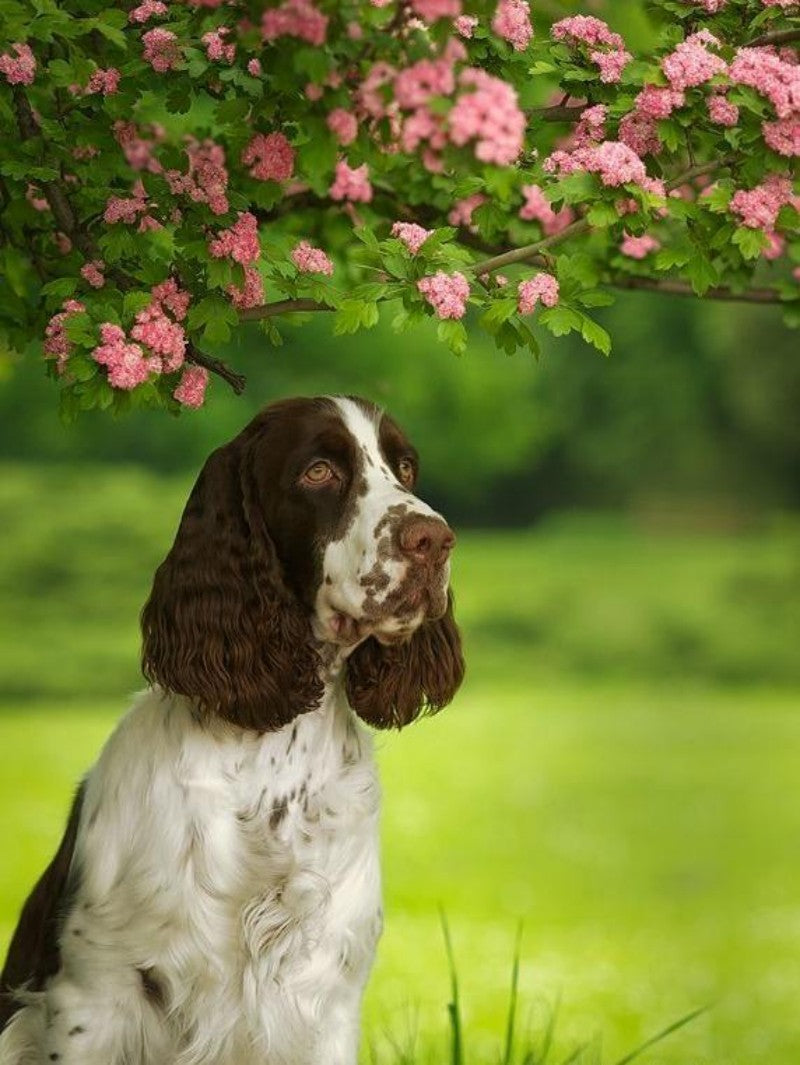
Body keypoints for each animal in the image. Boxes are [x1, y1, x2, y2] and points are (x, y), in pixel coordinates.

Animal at [0, 398, 462, 1065]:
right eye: (319, 471)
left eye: (405, 467)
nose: (435, 539)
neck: (272, 752)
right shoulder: (90, 995)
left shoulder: (327, 995)